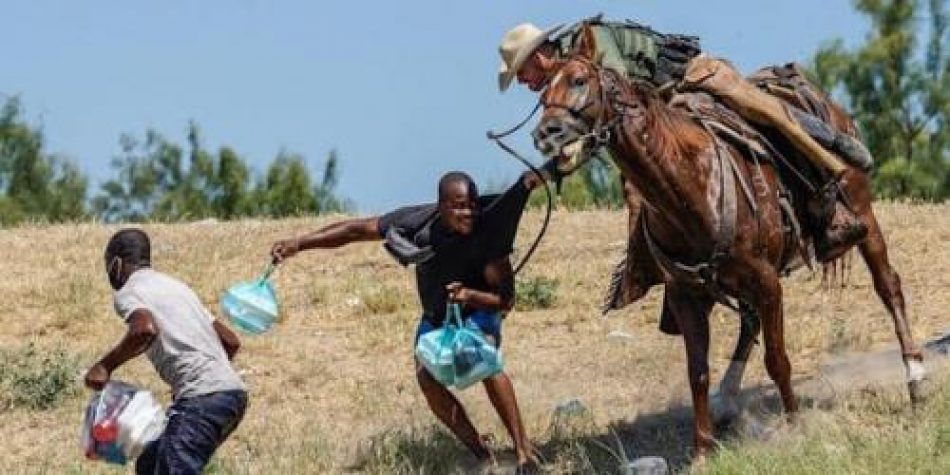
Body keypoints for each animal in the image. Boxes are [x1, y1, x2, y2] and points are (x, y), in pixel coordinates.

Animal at [536, 25, 928, 458]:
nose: (545, 133)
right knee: (749, 321)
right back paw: (726, 399)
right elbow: (698, 372)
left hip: (864, 217)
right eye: (542, 92)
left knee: (888, 286)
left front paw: (796, 426)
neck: (689, 186)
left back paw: (916, 378)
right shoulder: (686, 294)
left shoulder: (768, 282)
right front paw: (702, 449)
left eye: (579, 80)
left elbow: (777, 359)